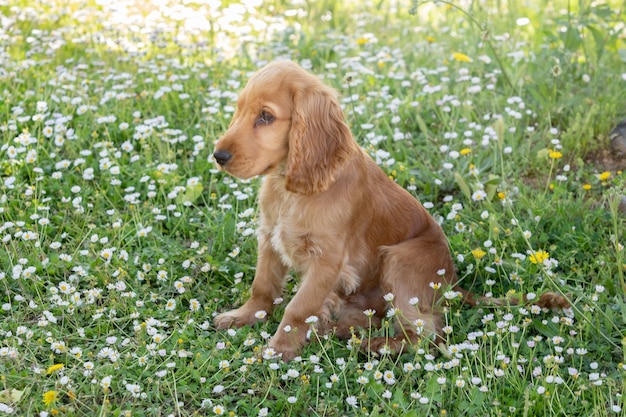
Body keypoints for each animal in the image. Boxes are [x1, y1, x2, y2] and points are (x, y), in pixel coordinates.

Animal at [212, 60, 568, 360]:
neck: (292, 189)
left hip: (400, 261)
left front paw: (279, 348)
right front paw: (242, 316)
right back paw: (339, 330)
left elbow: (298, 307)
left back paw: (377, 345)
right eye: (239, 110)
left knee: (427, 333)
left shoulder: (327, 259)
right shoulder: (270, 238)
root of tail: (452, 285)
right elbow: (263, 287)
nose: (218, 156)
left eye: (266, 116)